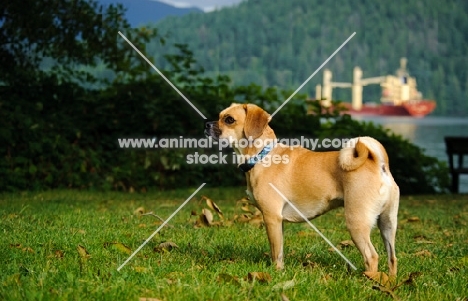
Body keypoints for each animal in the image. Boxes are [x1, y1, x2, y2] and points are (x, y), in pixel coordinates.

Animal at [205, 102, 398, 274]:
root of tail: (378, 164)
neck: (262, 155)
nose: (206, 124)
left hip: (357, 222)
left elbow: (276, 253)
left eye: (229, 119)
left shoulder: (271, 218)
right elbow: (280, 250)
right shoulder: (279, 223)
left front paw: (277, 273)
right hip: (387, 224)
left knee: (371, 257)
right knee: (392, 258)